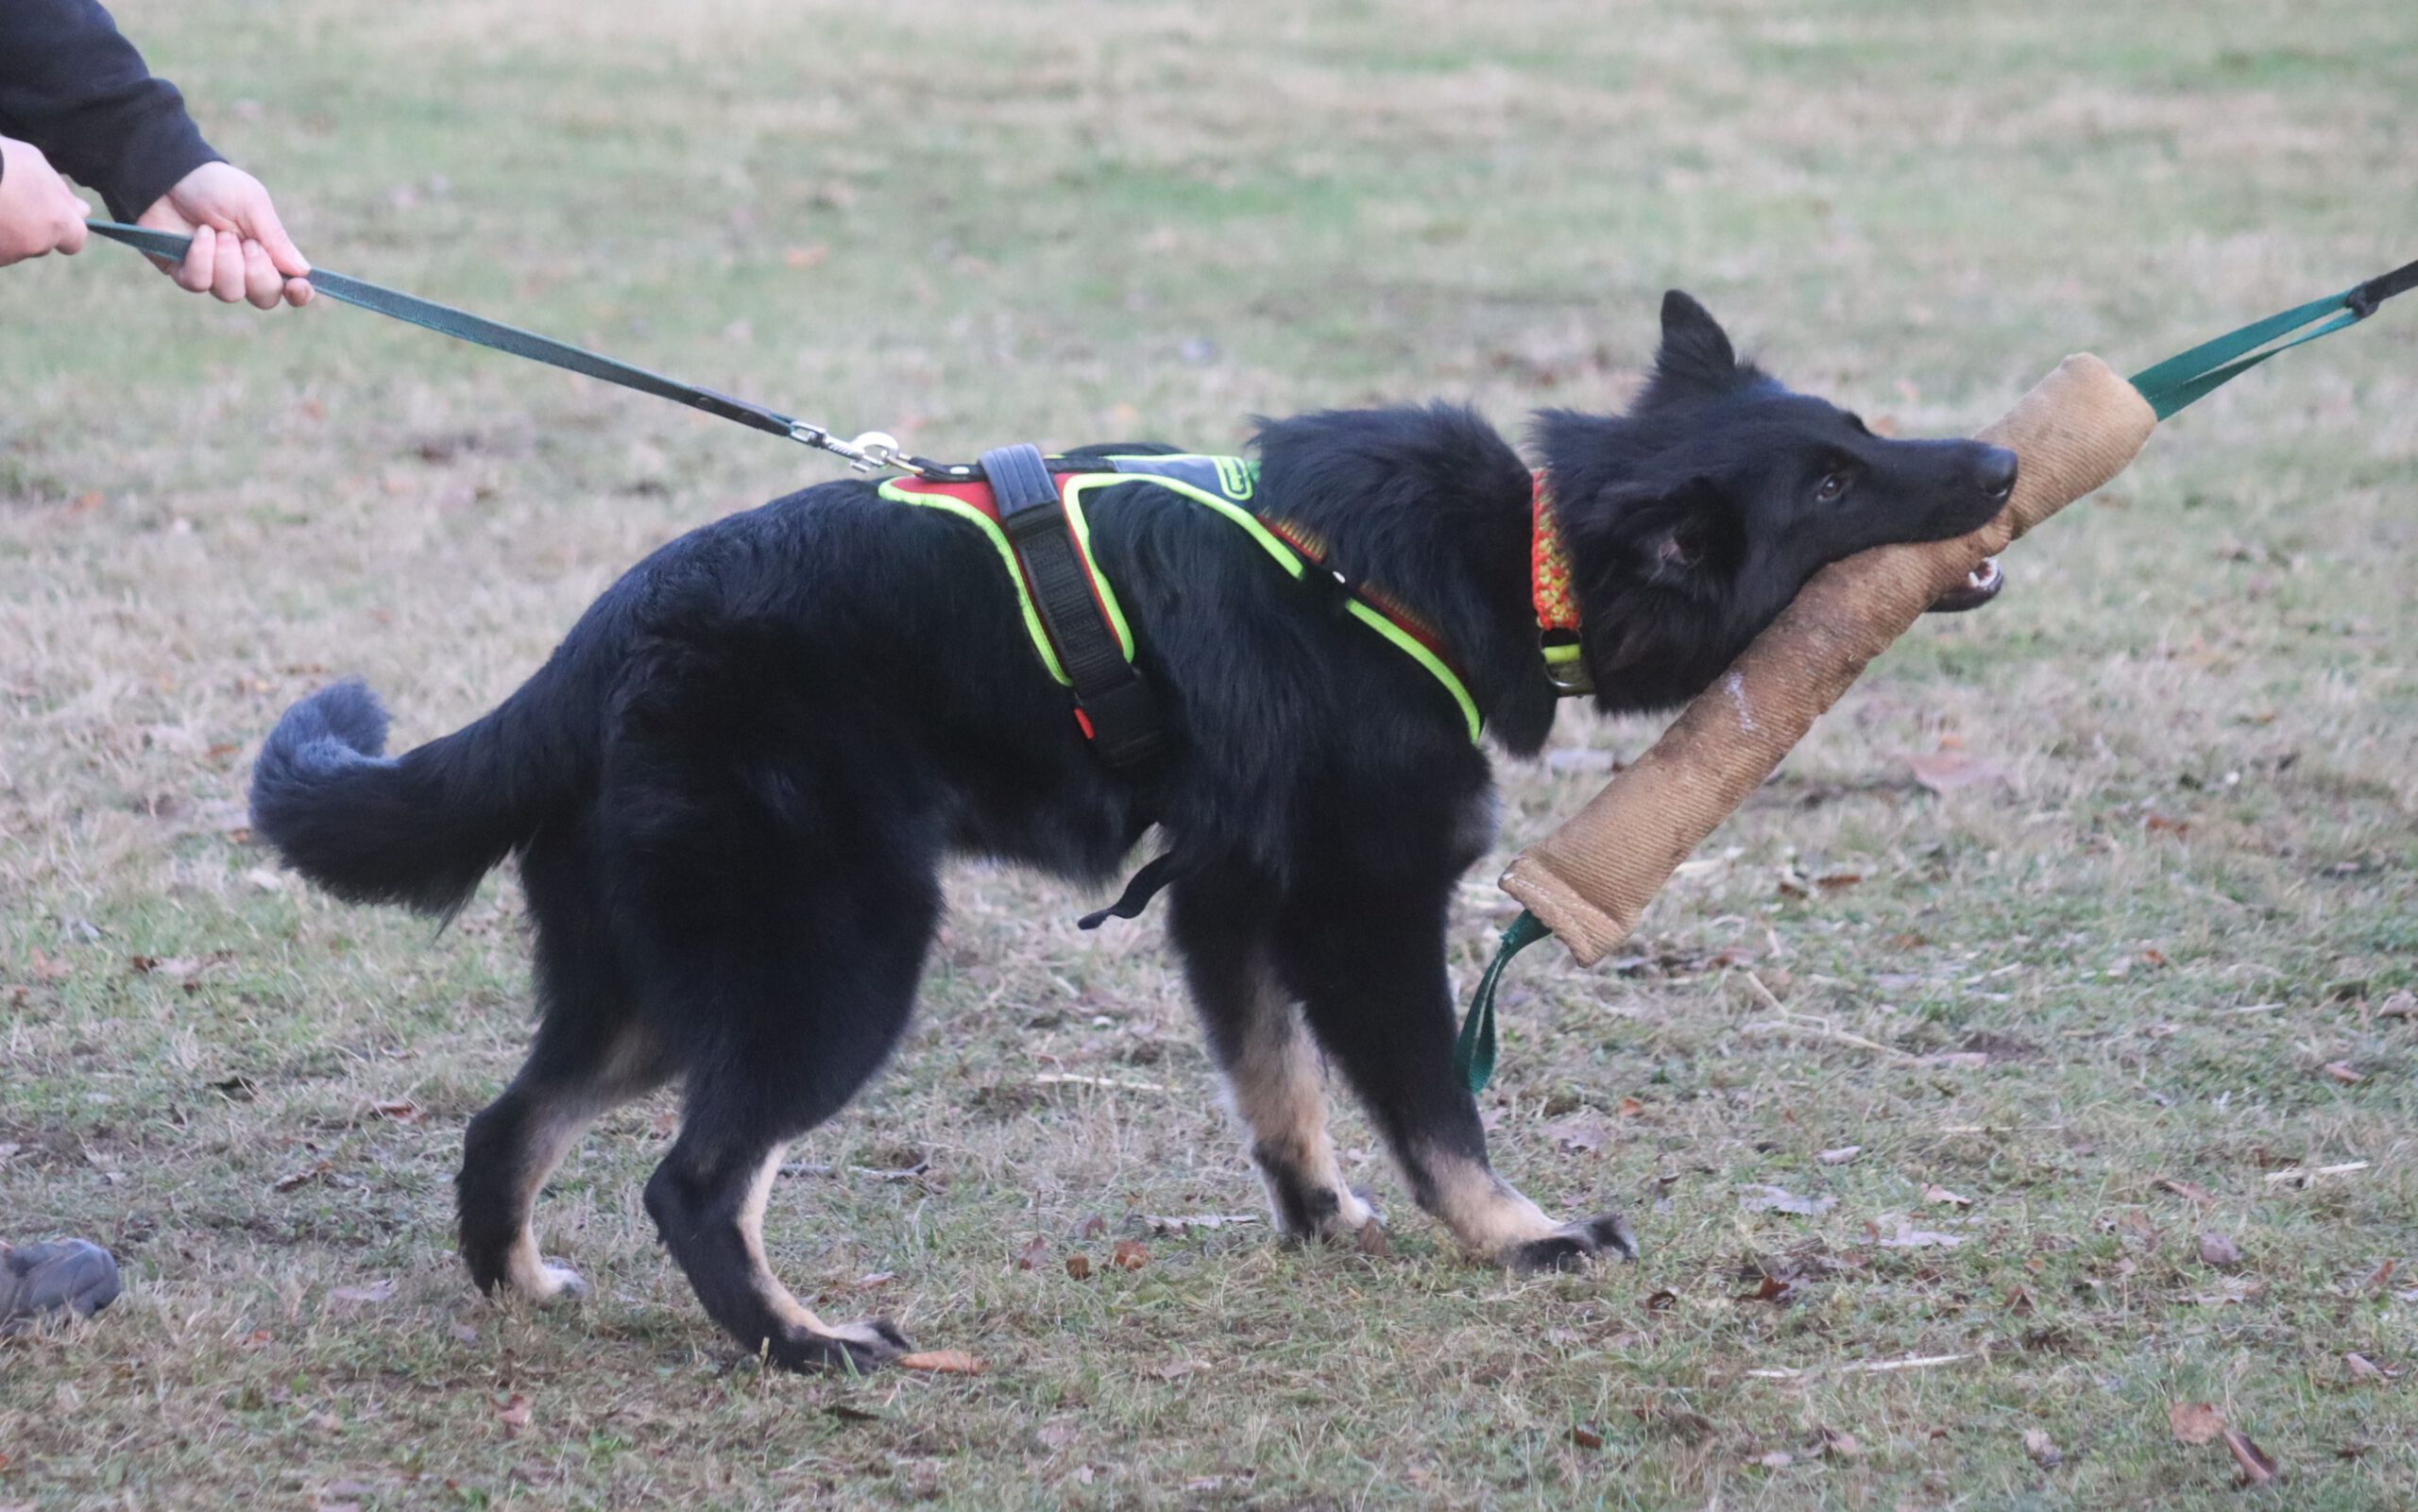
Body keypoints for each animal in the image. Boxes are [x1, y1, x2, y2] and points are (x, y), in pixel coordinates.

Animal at [249, 295, 2021, 1364]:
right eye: (1833, 491)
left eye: (1864, 437)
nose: (2005, 455)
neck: (1503, 553)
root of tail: (604, 635)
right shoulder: (1364, 911)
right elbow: (1435, 1107)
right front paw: (1518, 1238)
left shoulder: (1227, 901)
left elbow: (1278, 1090)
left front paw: (1321, 1223)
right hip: (837, 966)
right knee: (696, 1183)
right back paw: (800, 1344)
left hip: (652, 986)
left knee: (510, 1124)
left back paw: (520, 1286)